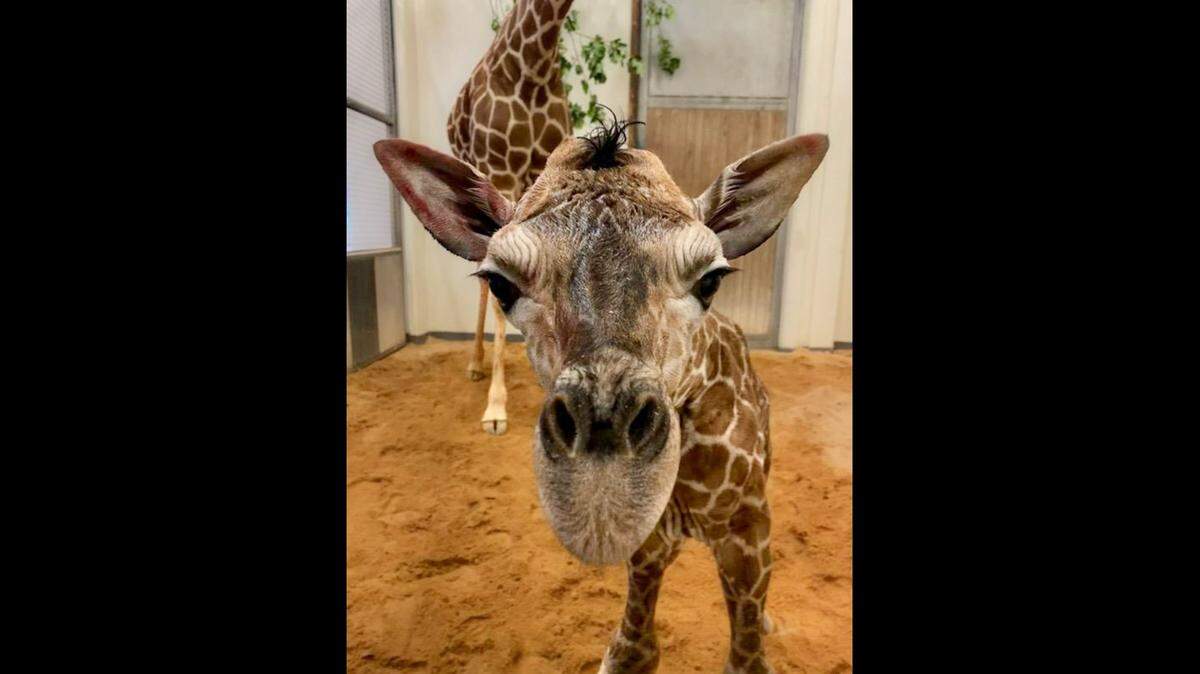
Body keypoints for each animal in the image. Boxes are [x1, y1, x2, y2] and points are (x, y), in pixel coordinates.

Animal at [375, 120, 829, 672]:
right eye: (501, 284)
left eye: (711, 278)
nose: (601, 490)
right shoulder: (650, 544)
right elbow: (633, 650)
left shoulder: (748, 520)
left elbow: (746, 658)